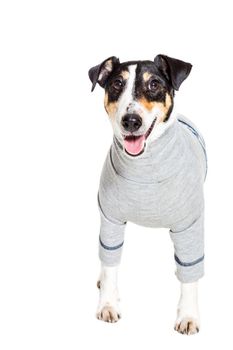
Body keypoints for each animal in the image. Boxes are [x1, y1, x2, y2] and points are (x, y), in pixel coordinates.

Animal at [88, 54, 207, 334]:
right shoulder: (110, 219)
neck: (144, 168)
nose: (131, 121)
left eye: (154, 84)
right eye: (117, 84)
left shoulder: (190, 226)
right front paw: (107, 303)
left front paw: (188, 315)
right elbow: (110, 263)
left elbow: (190, 272)